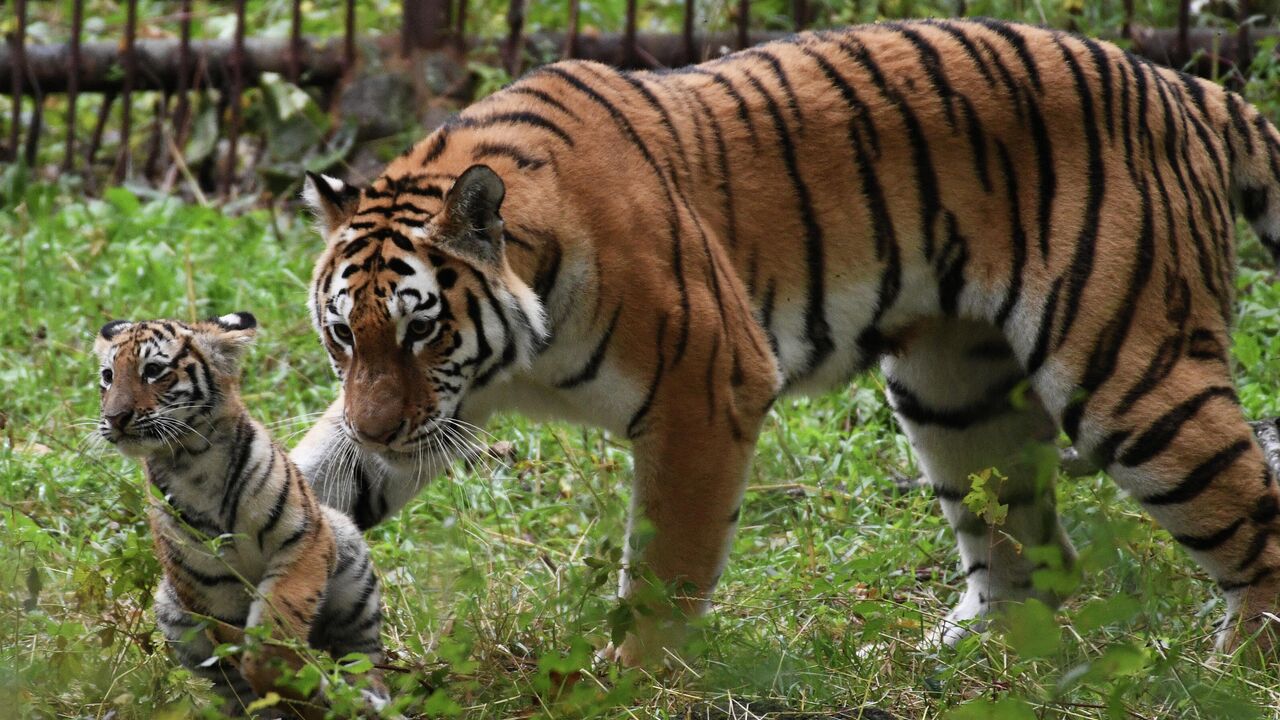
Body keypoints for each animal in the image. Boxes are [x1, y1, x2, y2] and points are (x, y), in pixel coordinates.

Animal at [290, 19, 1280, 661]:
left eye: (422, 329)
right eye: (343, 337)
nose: (376, 427)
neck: (514, 353)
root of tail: (1186, 86)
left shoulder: (705, 387)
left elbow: (664, 566)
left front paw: (629, 682)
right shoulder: (426, 414)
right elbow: (310, 483)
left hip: (1129, 373)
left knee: (1253, 520)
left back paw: (1230, 672)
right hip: (953, 396)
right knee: (1034, 555)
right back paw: (961, 659)